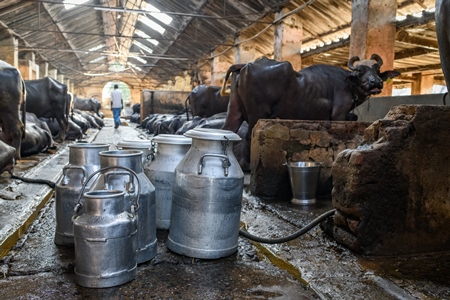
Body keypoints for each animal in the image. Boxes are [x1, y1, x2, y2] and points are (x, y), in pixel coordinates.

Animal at [220, 55, 400, 170]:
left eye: (377, 70)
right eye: (360, 71)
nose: (375, 82)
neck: (349, 84)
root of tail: (245, 65)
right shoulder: (339, 115)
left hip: (234, 109)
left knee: (228, 129)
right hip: (257, 113)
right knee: (249, 136)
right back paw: (247, 166)